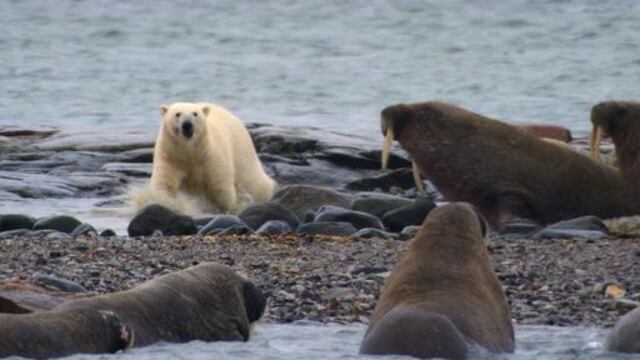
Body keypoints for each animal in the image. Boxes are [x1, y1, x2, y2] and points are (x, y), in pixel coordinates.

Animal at [141, 101, 276, 214]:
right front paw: (164, 203)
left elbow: (219, 183)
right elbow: (164, 183)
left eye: (195, 114)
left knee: (251, 179)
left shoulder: (211, 156)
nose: (187, 124)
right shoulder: (171, 157)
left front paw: (229, 207)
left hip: (240, 147)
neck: (190, 152)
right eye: (177, 114)